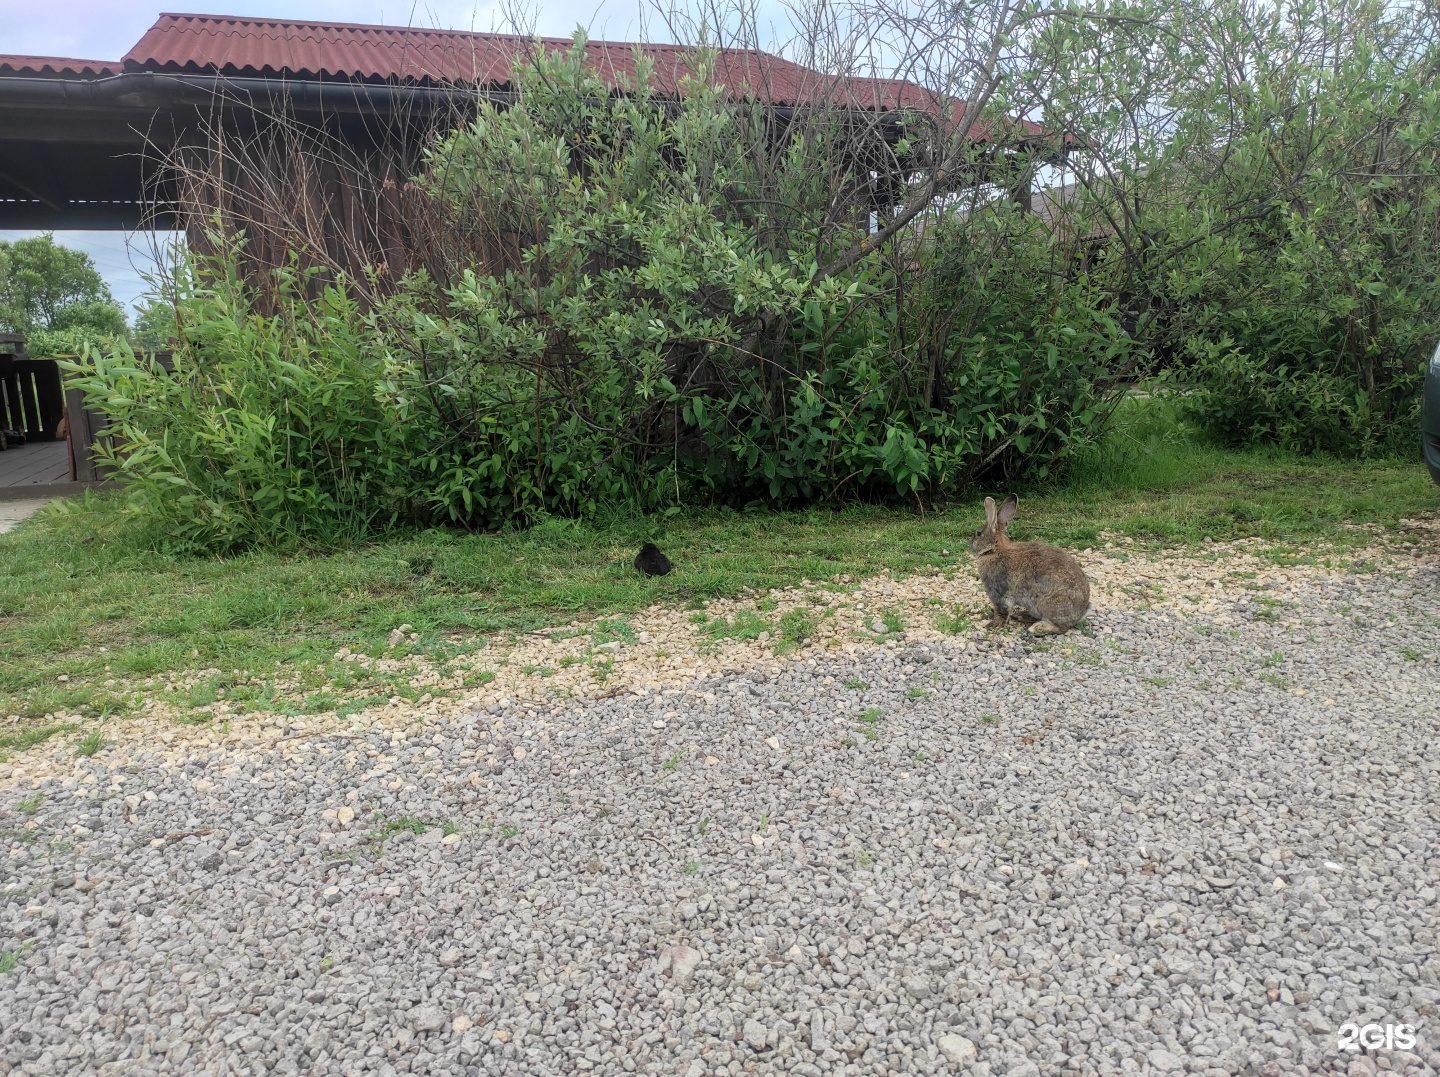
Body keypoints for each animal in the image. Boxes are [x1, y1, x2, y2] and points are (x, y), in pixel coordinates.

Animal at [967, 495, 1088, 636]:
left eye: (978, 533)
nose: (970, 543)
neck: (994, 550)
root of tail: (1081, 613)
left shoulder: (998, 591)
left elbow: (1002, 610)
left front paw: (993, 625)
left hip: (1048, 604)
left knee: (1062, 628)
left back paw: (1037, 628)